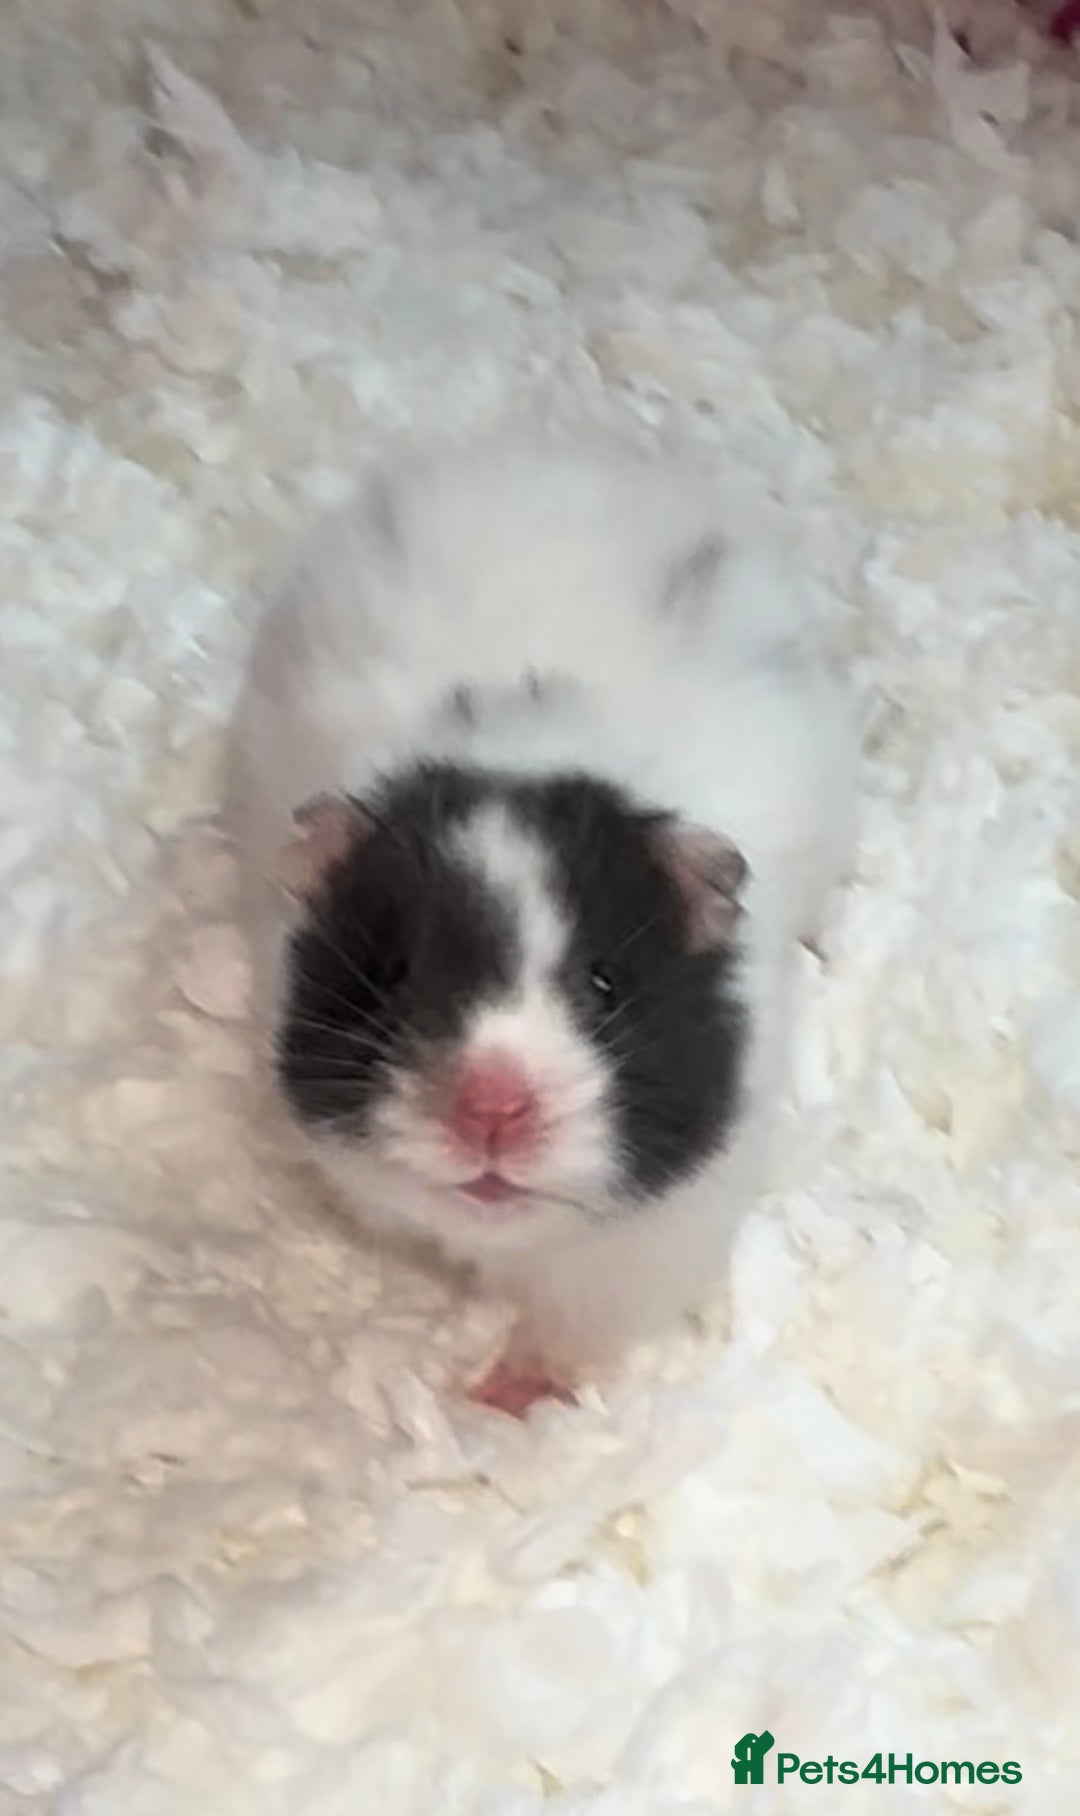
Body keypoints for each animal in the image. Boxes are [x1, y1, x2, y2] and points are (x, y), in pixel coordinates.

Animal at [228, 435, 857, 1416]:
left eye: (604, 982)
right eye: (393, 973)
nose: (492, 1110)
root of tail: (578, 462)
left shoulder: (645, 1246)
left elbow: (569, 1335)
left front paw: (498, 1402)